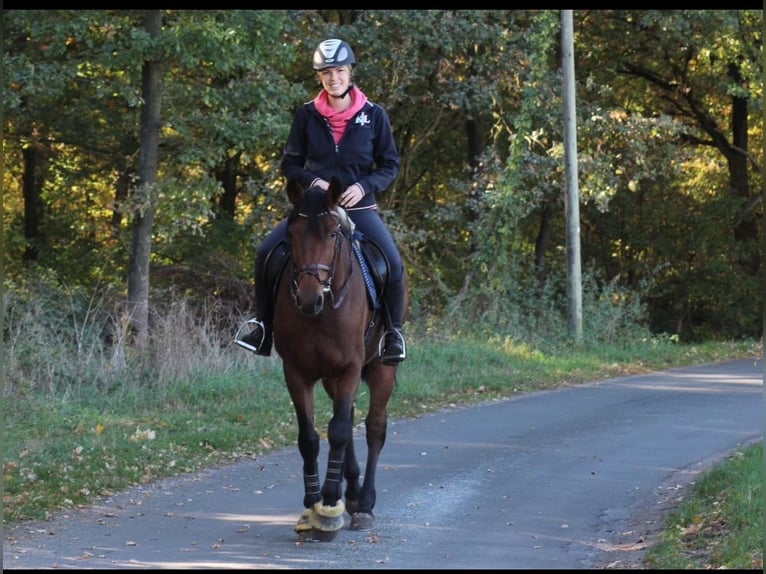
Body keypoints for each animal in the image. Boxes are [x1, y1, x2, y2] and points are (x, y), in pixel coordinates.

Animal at [274, 178, 408, 544]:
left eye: (333, 233)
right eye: (291, 233)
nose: (309, 299)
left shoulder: (349, 368)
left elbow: (339, 431)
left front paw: (329, 505)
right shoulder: (296, 372)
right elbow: (310, 437)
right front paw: (313, 505)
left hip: (381, 368)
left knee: (374, 428)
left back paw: (364, 504)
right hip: (331, 379)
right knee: (346, 419)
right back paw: (353, 494)